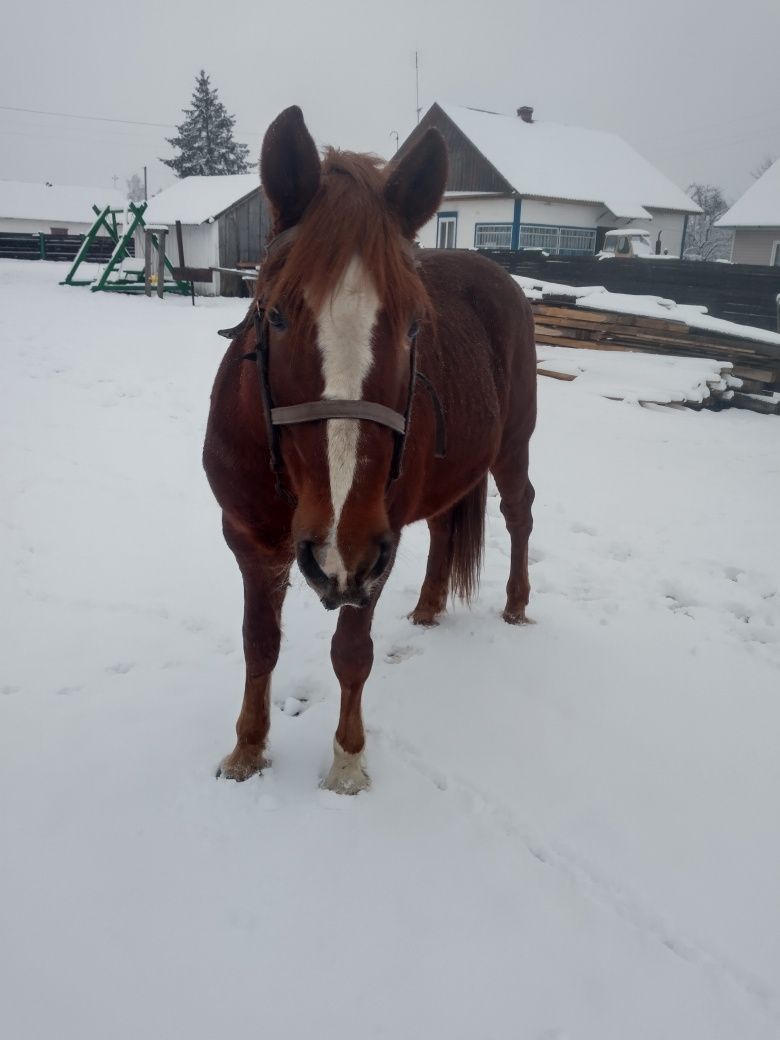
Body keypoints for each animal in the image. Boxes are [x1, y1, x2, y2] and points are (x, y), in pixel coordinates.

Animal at [202, 107, 536, 786]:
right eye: (276, 316)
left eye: (414, 325)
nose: (341, 546)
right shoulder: (247, 541)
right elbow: (259, 643)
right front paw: (248, 748)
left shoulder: (374, 554)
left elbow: (352, 654)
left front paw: (348, 762)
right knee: (444, 529)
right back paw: (430, 607)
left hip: (512, 447)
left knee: (520, 513)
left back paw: (516, 605)